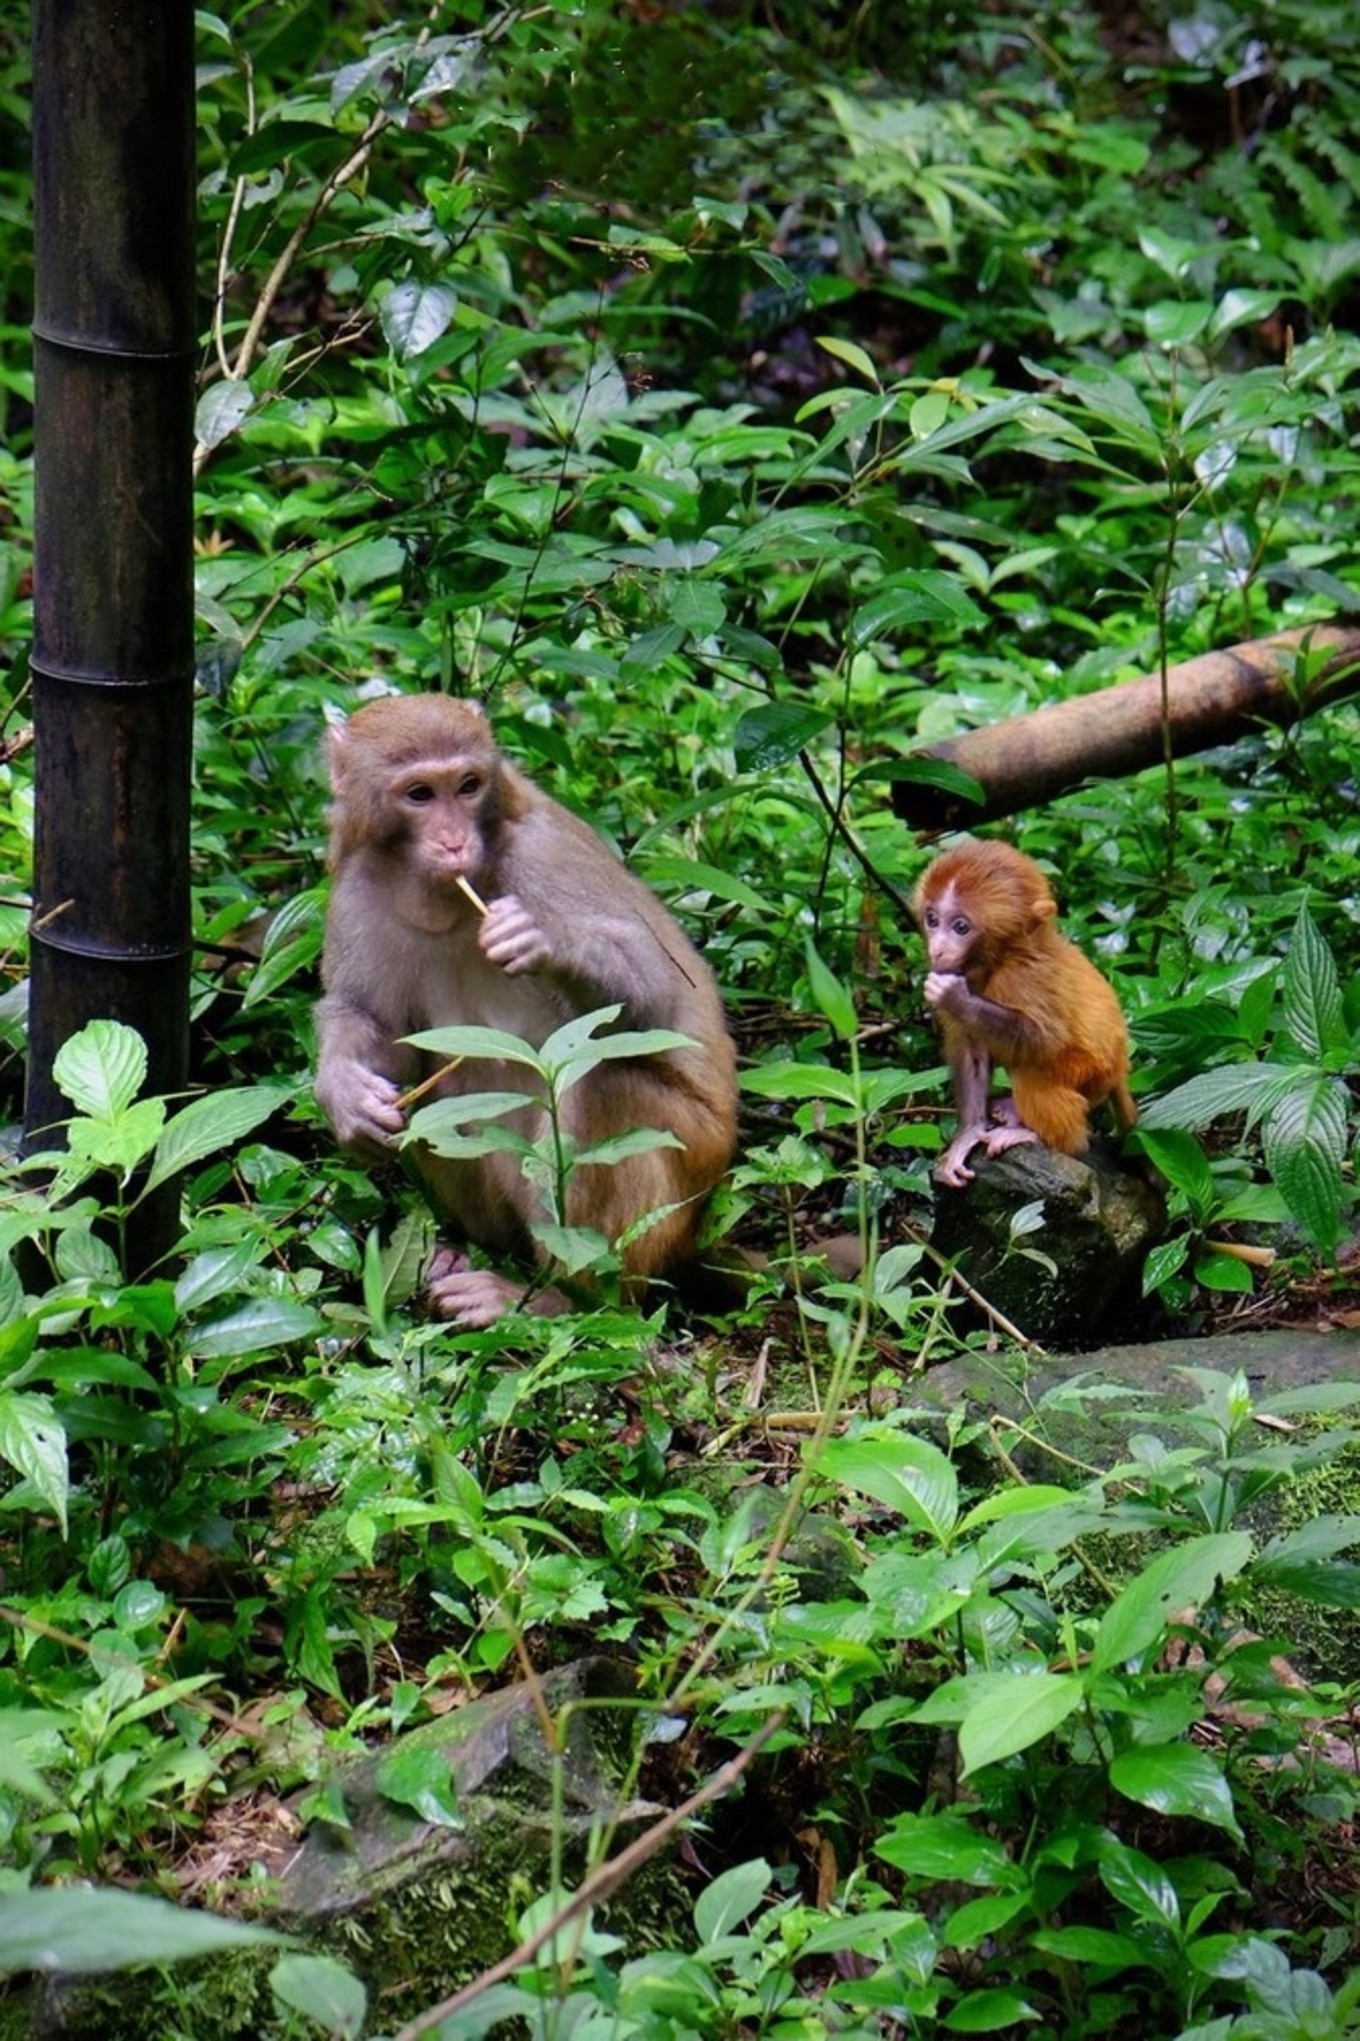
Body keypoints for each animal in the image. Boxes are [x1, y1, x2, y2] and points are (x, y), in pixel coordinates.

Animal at [314, 689, 735, 1322]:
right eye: (420, 794)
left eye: (468, 786)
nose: (454, 843)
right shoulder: (358, 888)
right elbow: (372, 1024)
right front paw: (345, 1097)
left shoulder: (543, 857)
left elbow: (657, 994)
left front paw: (543, 939)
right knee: (445, 1090)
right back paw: (462, 1256)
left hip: (689, 1169)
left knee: (599, 1079)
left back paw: (559, 1298)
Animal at [910, 836, 1135, 1191]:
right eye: (932, 920)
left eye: (960, 927)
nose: (937, 950)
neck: (998, 959)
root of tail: (1120, 1068)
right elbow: (972, 1047)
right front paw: (969, 1134)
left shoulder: (1021, 978)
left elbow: (1043, 1040)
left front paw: (958, 999)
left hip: (1093, 1074)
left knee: (1035, 1067)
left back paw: (1049, 1138)